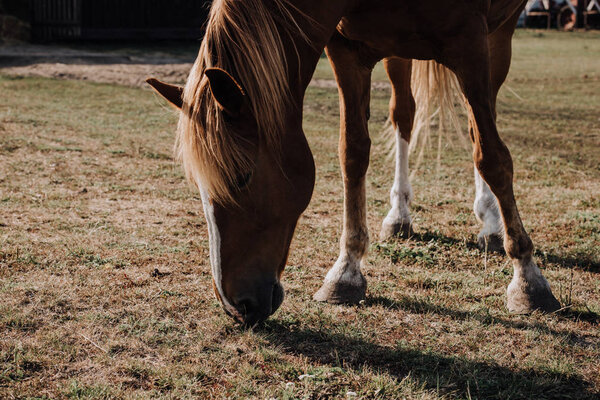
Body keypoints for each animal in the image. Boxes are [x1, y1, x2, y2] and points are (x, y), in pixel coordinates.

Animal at [150, 0, 564, 324]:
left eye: (241, 177)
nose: (235, 306)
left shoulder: (472, 43)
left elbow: (492, 155)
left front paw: (529, 280)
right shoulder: (346, 50)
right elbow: (352, 151)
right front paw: (345, 272)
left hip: (498, 37)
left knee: (480, 124)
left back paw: (491, 223)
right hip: (400, 52)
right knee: (405, 115)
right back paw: (399, 216)